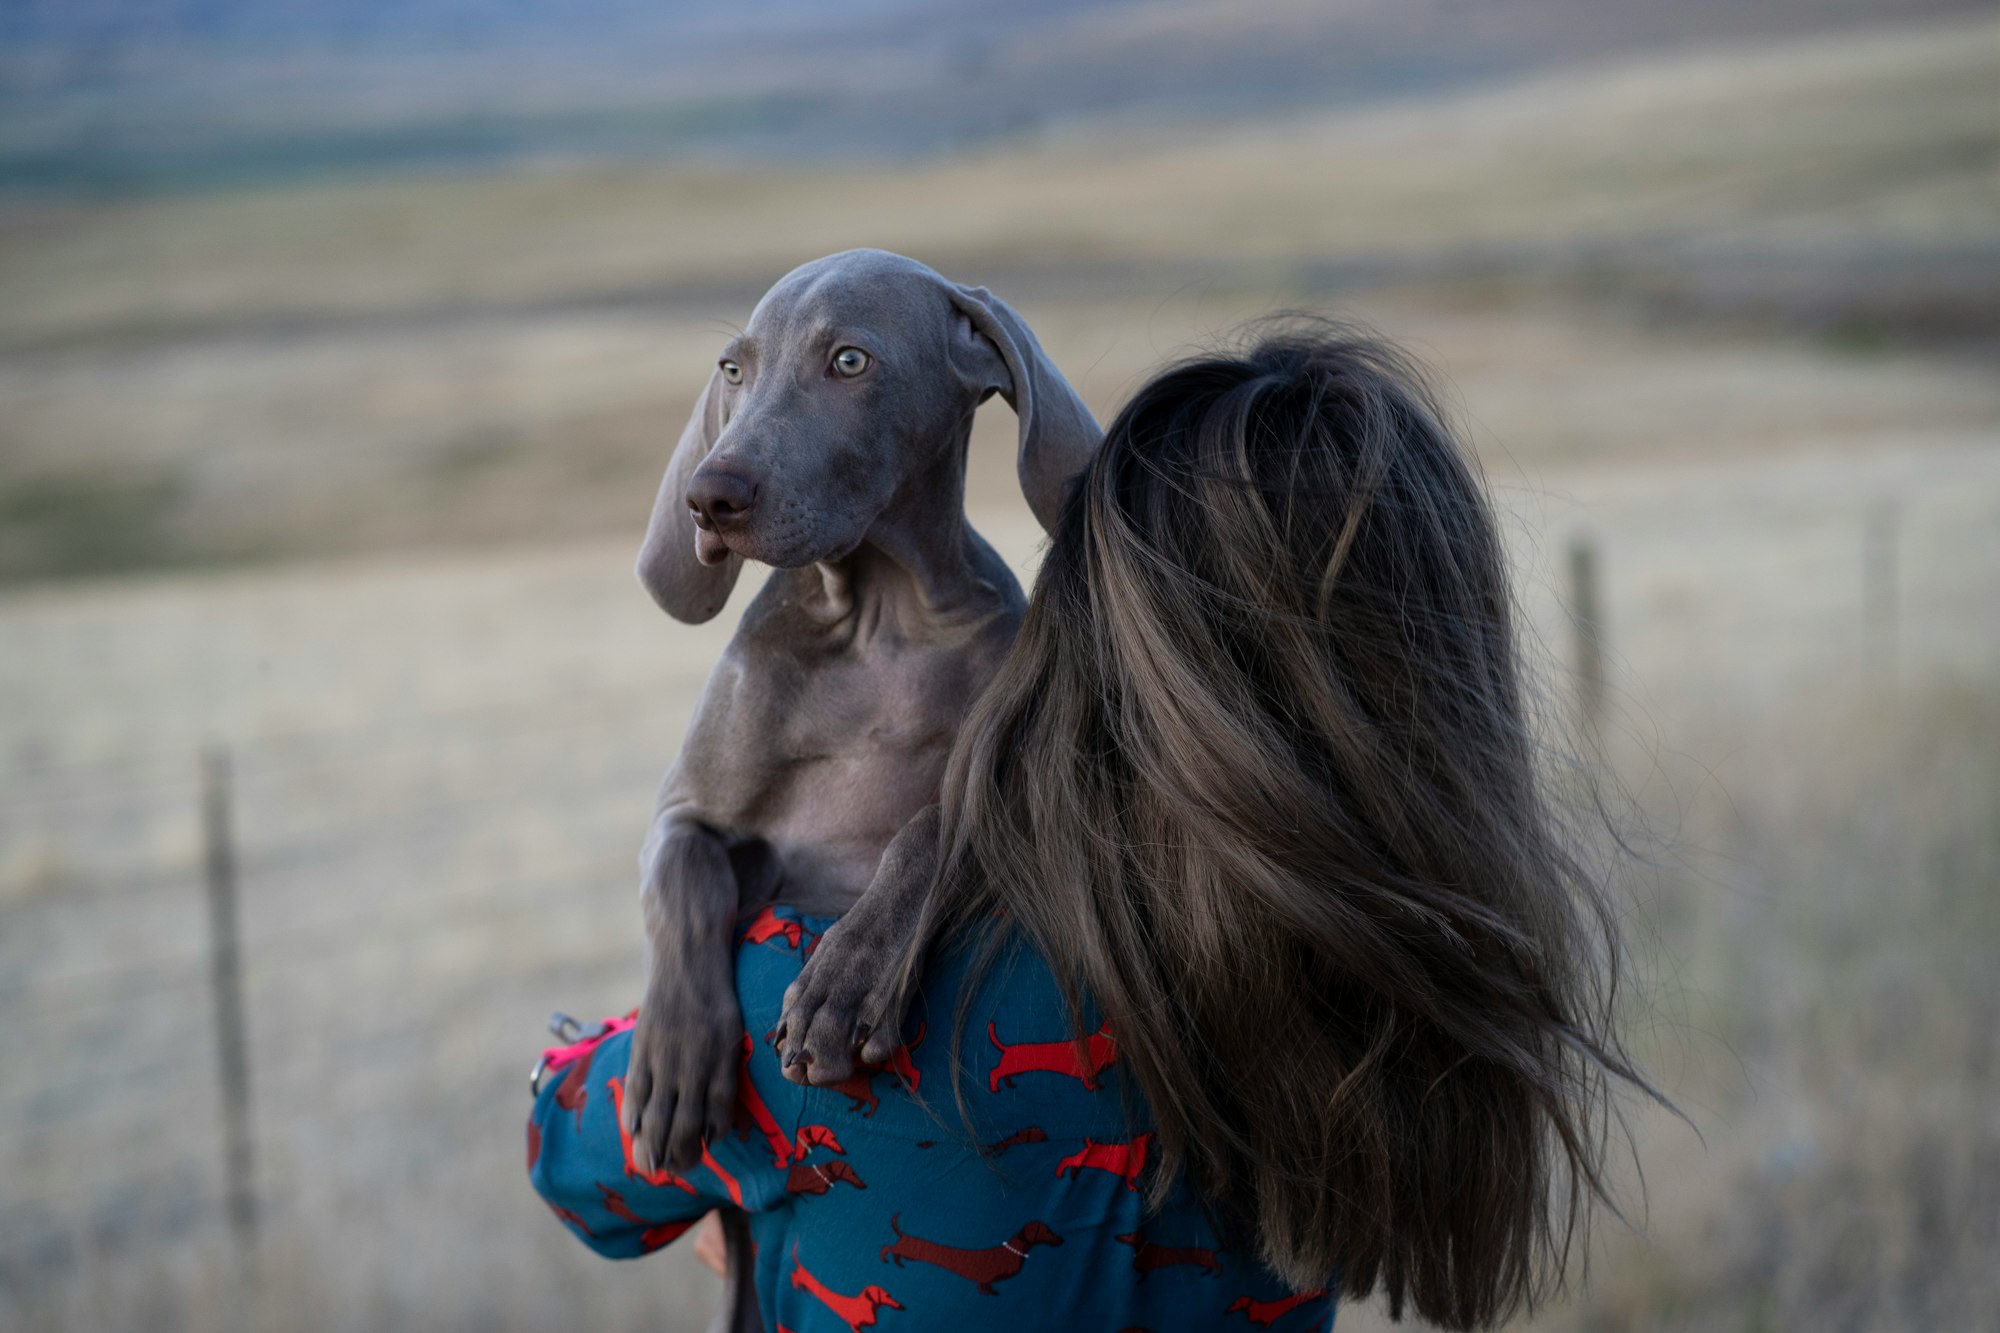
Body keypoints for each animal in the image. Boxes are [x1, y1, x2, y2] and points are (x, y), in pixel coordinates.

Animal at [620, 249, 1104, 1320]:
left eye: (849, 360)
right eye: (733, 368)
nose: (709, 497)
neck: (876, 623)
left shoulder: (1009, 792)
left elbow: (927, 825)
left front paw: (844, 980)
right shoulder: (684, 815)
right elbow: (686, 879)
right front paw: (676, 1059)